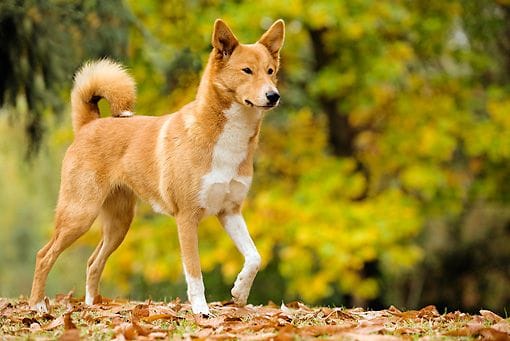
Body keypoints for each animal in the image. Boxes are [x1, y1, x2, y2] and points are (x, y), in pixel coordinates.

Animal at [27, 19, 284, 316]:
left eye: (270, 71)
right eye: (247, 71)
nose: (274, 95)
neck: (225, 138)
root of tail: (89, 124)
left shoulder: (229, 211)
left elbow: (255, 256)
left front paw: (239, 291)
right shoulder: (187, 218)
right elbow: (194, 272)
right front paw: (201, 311)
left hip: (119, 223)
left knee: (93, 262)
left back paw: (92, 306)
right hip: (79, 214)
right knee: (43, 255)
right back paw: (37, 305)